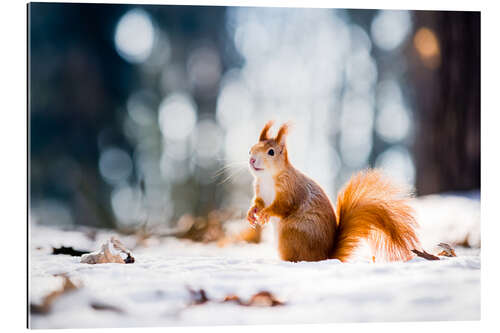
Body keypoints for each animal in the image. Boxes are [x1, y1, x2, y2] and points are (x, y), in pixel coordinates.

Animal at [248, 120, 420, 260]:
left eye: (271, 152)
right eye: (250, 149)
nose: (251, 160)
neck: (267, 178)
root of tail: (325, 256)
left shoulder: (291, 190)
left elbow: (283, 206)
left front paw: (265, 213)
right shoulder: (260, 191)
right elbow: (258, 202)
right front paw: (252, 213)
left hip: (291, 233)